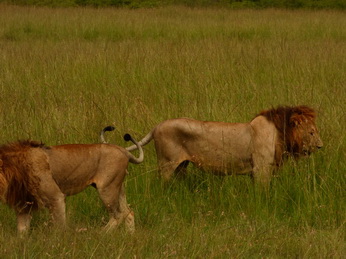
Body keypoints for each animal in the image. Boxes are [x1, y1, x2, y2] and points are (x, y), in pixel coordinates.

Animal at [0, 131, 143, 235]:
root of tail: (124, 151)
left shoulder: (55, 197)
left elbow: (59, 226)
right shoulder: (24, 204)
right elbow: (22, 230)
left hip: (107, 188)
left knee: (118, 215)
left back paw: (100, 234)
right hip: (118, 187)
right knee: (128, 212)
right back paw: (130, 236)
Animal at [104, 106, 324, 187]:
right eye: (312, 132)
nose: (321, 146)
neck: (280, 133)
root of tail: (157, 126)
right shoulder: (262, 169)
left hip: (181, 166)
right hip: (167, 164)